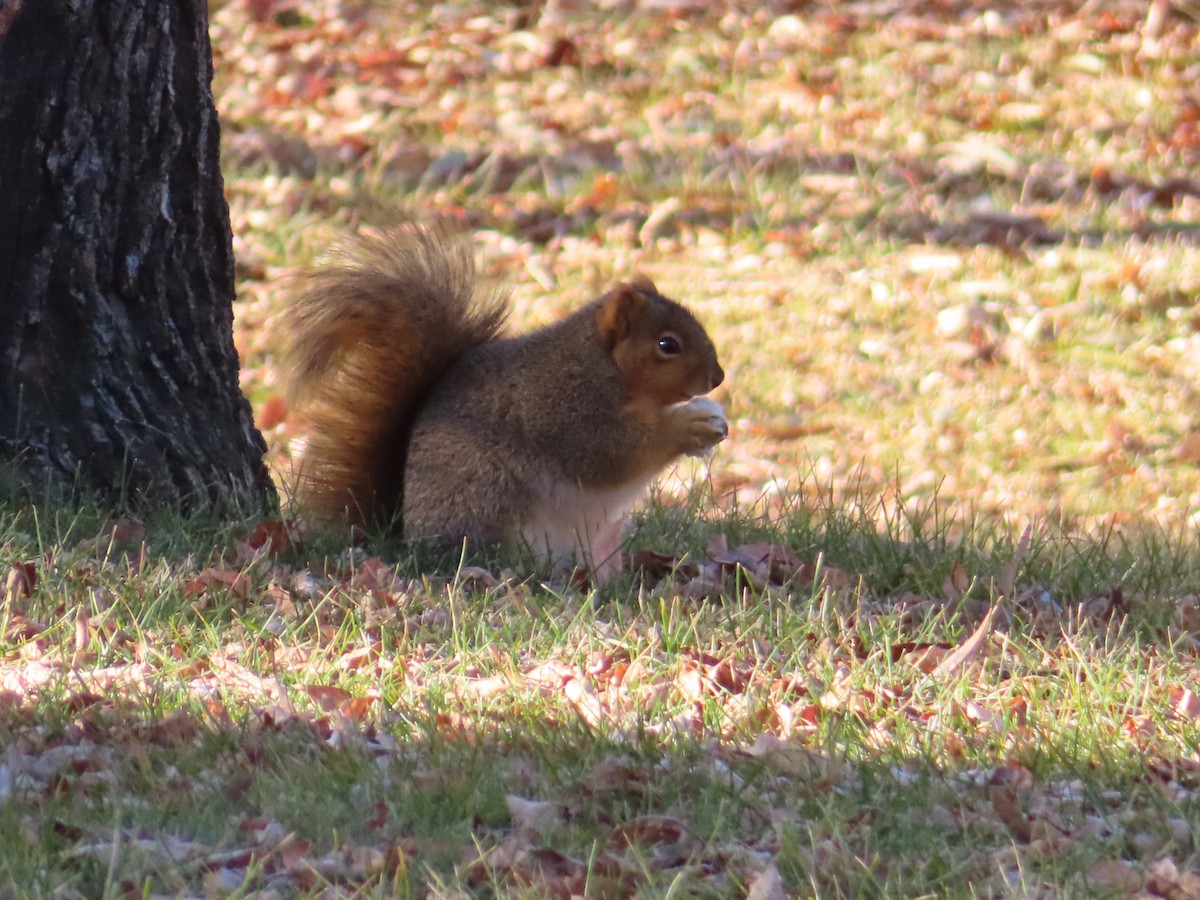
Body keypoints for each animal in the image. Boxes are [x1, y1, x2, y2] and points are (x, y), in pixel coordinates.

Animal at [282, 222, 727, 577]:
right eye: (667, 345)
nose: (718, 377)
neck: (605, 367)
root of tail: (408, 537)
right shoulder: (568, 409)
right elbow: (613, 453)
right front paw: (688, 427)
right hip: (486, 504)